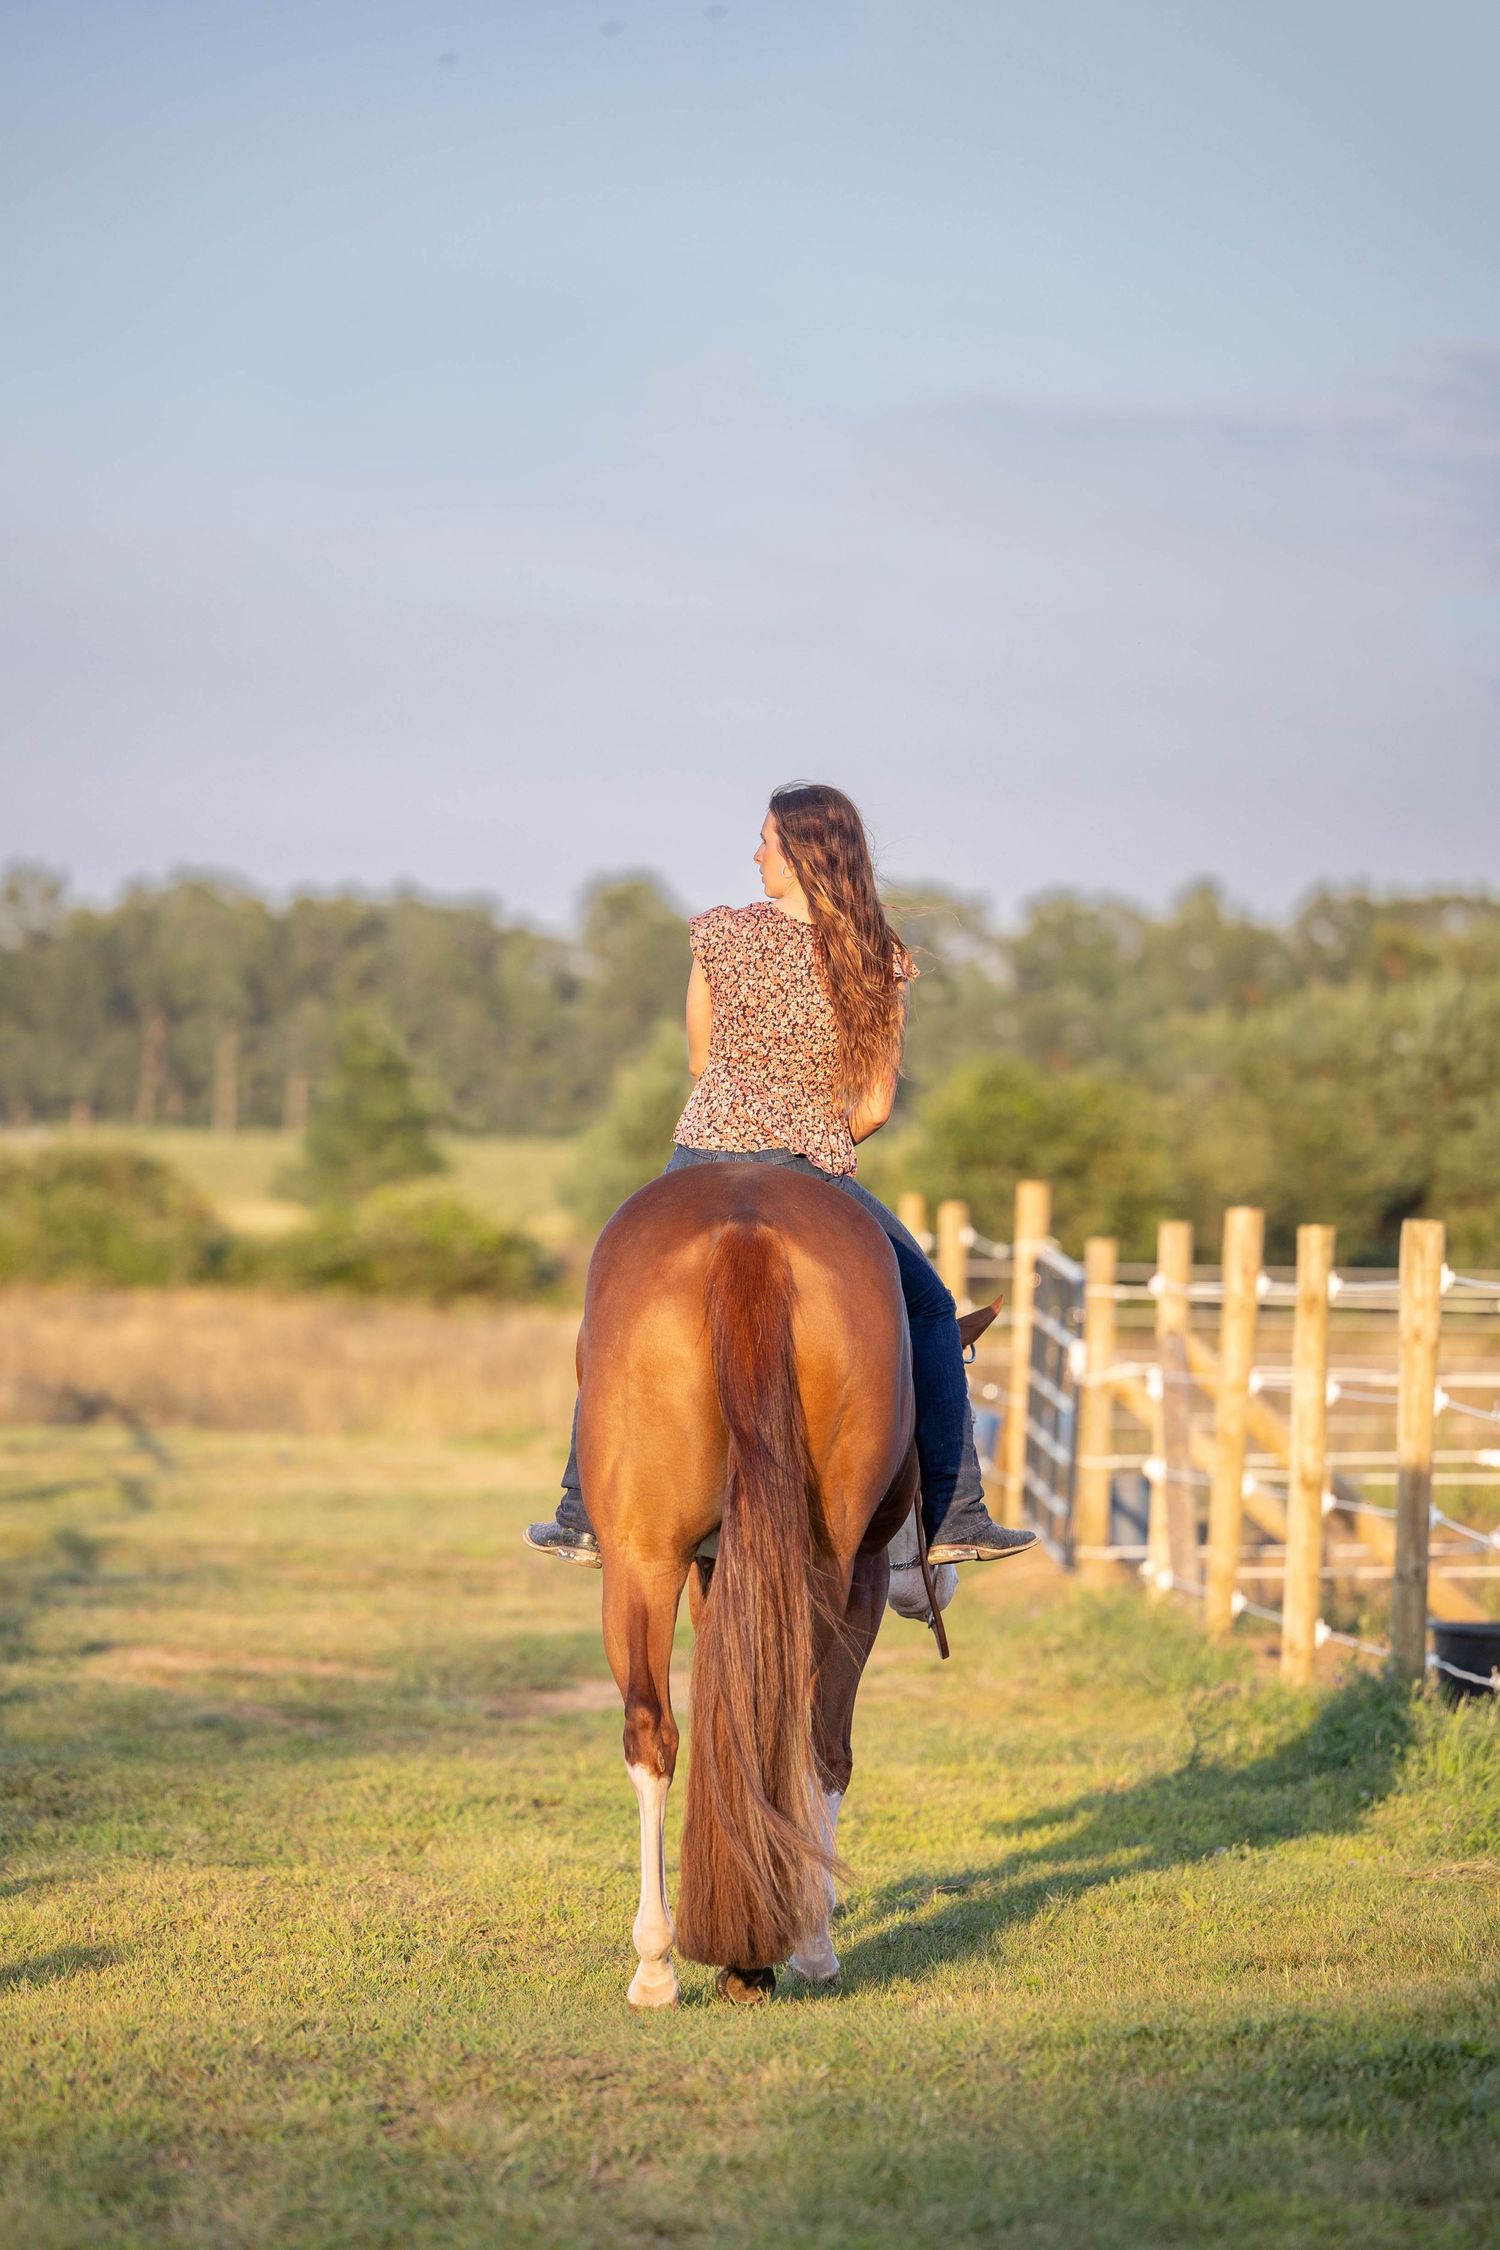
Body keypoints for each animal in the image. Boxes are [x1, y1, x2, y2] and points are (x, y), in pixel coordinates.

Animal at [576, 1159, 920, 2007]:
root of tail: (746, 1231)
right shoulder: (861, 1580)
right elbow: (827, 1749)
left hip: (644, 1557)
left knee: (655, 1733)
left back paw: (664, 1963)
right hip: (828, 1565)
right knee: (798, 1734)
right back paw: (794, 1947)